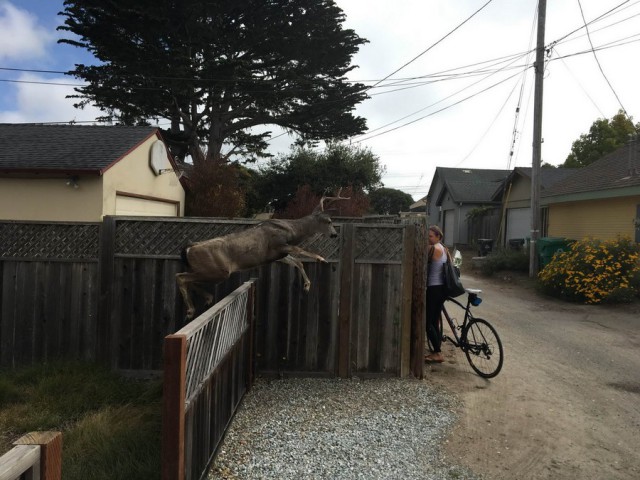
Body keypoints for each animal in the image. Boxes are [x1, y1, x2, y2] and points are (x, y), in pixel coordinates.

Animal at [176, 190, 350, 318]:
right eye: (329, 221)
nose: (334, 234)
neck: (292, 231)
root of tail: (189, 248)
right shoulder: (278, 244)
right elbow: (300, 251)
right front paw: (322, 259)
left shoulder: (278, 254)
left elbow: (297, 262)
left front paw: (307, 285)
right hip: (218, 271)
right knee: (181, 277)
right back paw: (191, 310)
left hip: (205, 270)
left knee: (186, 277)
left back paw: (207, 298)